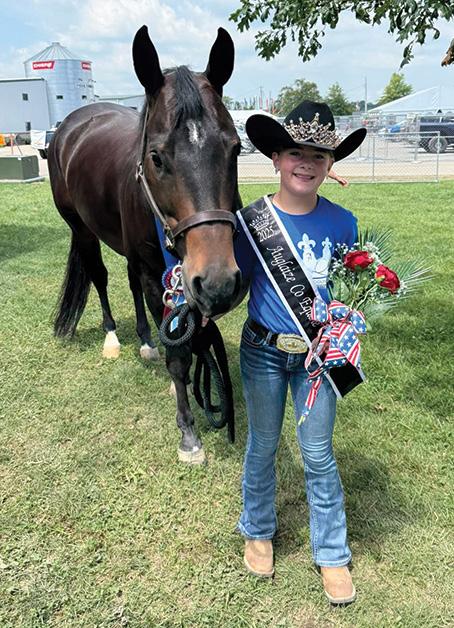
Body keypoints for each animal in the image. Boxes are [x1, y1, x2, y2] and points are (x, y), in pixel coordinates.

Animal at [48, 25, 242, 464]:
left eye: (236, 148)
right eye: (156, 157)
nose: (219, 282)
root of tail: (71, 125)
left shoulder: (181, 276)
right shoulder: (162, 276)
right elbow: (178, 357)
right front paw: (188, 432)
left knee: (129, 279)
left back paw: (146, 341)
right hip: (82, 229)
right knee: (100, 277)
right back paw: (112, 338)